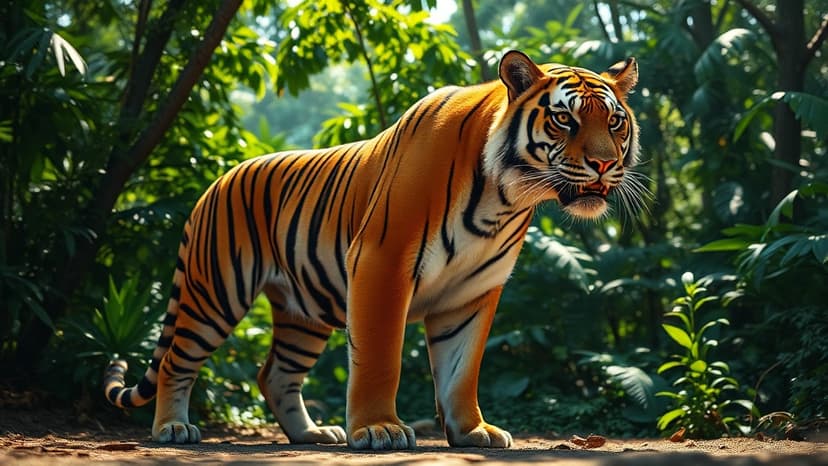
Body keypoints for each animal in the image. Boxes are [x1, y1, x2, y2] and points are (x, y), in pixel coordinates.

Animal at [103, 50, 643, 450]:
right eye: (564, 120)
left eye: (615, 123)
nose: (603, 164)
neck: (507, 198)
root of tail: (215, 182)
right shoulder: (383, 262)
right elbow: (382, 356)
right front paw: (379, 430)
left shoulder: (472, 291)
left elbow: (461, 369)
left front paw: (472, 431)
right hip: (215, 291)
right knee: (176, 360)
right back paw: (172, 428)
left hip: (303, 313)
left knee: (274, 375)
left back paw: (312, 434)